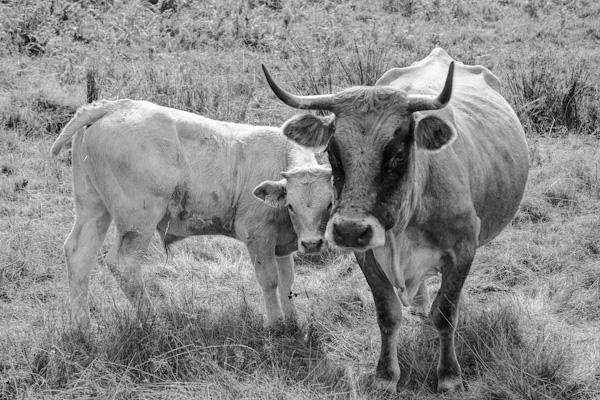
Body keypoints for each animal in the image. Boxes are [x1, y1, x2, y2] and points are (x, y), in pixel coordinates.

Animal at [50, 98, 332, 332]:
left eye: (329, 204)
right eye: (291, 205)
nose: (311, 243)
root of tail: (114, 105)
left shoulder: (282, 242)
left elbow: (288, 283)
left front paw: (294, 324)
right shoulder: (258, 235)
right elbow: (270, 281)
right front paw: (275, 326)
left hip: (92, 206)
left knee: (79, 255)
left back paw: (82, 329)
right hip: (137, 220)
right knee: (124, 264)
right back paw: (155, 324)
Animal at [260, 47, 528, 394]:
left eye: (397, 155)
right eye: (332, 153)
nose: (349, 230)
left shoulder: (463, 250)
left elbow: (446, 312)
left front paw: (449, 374)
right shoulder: (367, 255)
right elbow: (387, 314)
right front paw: (386, 375)